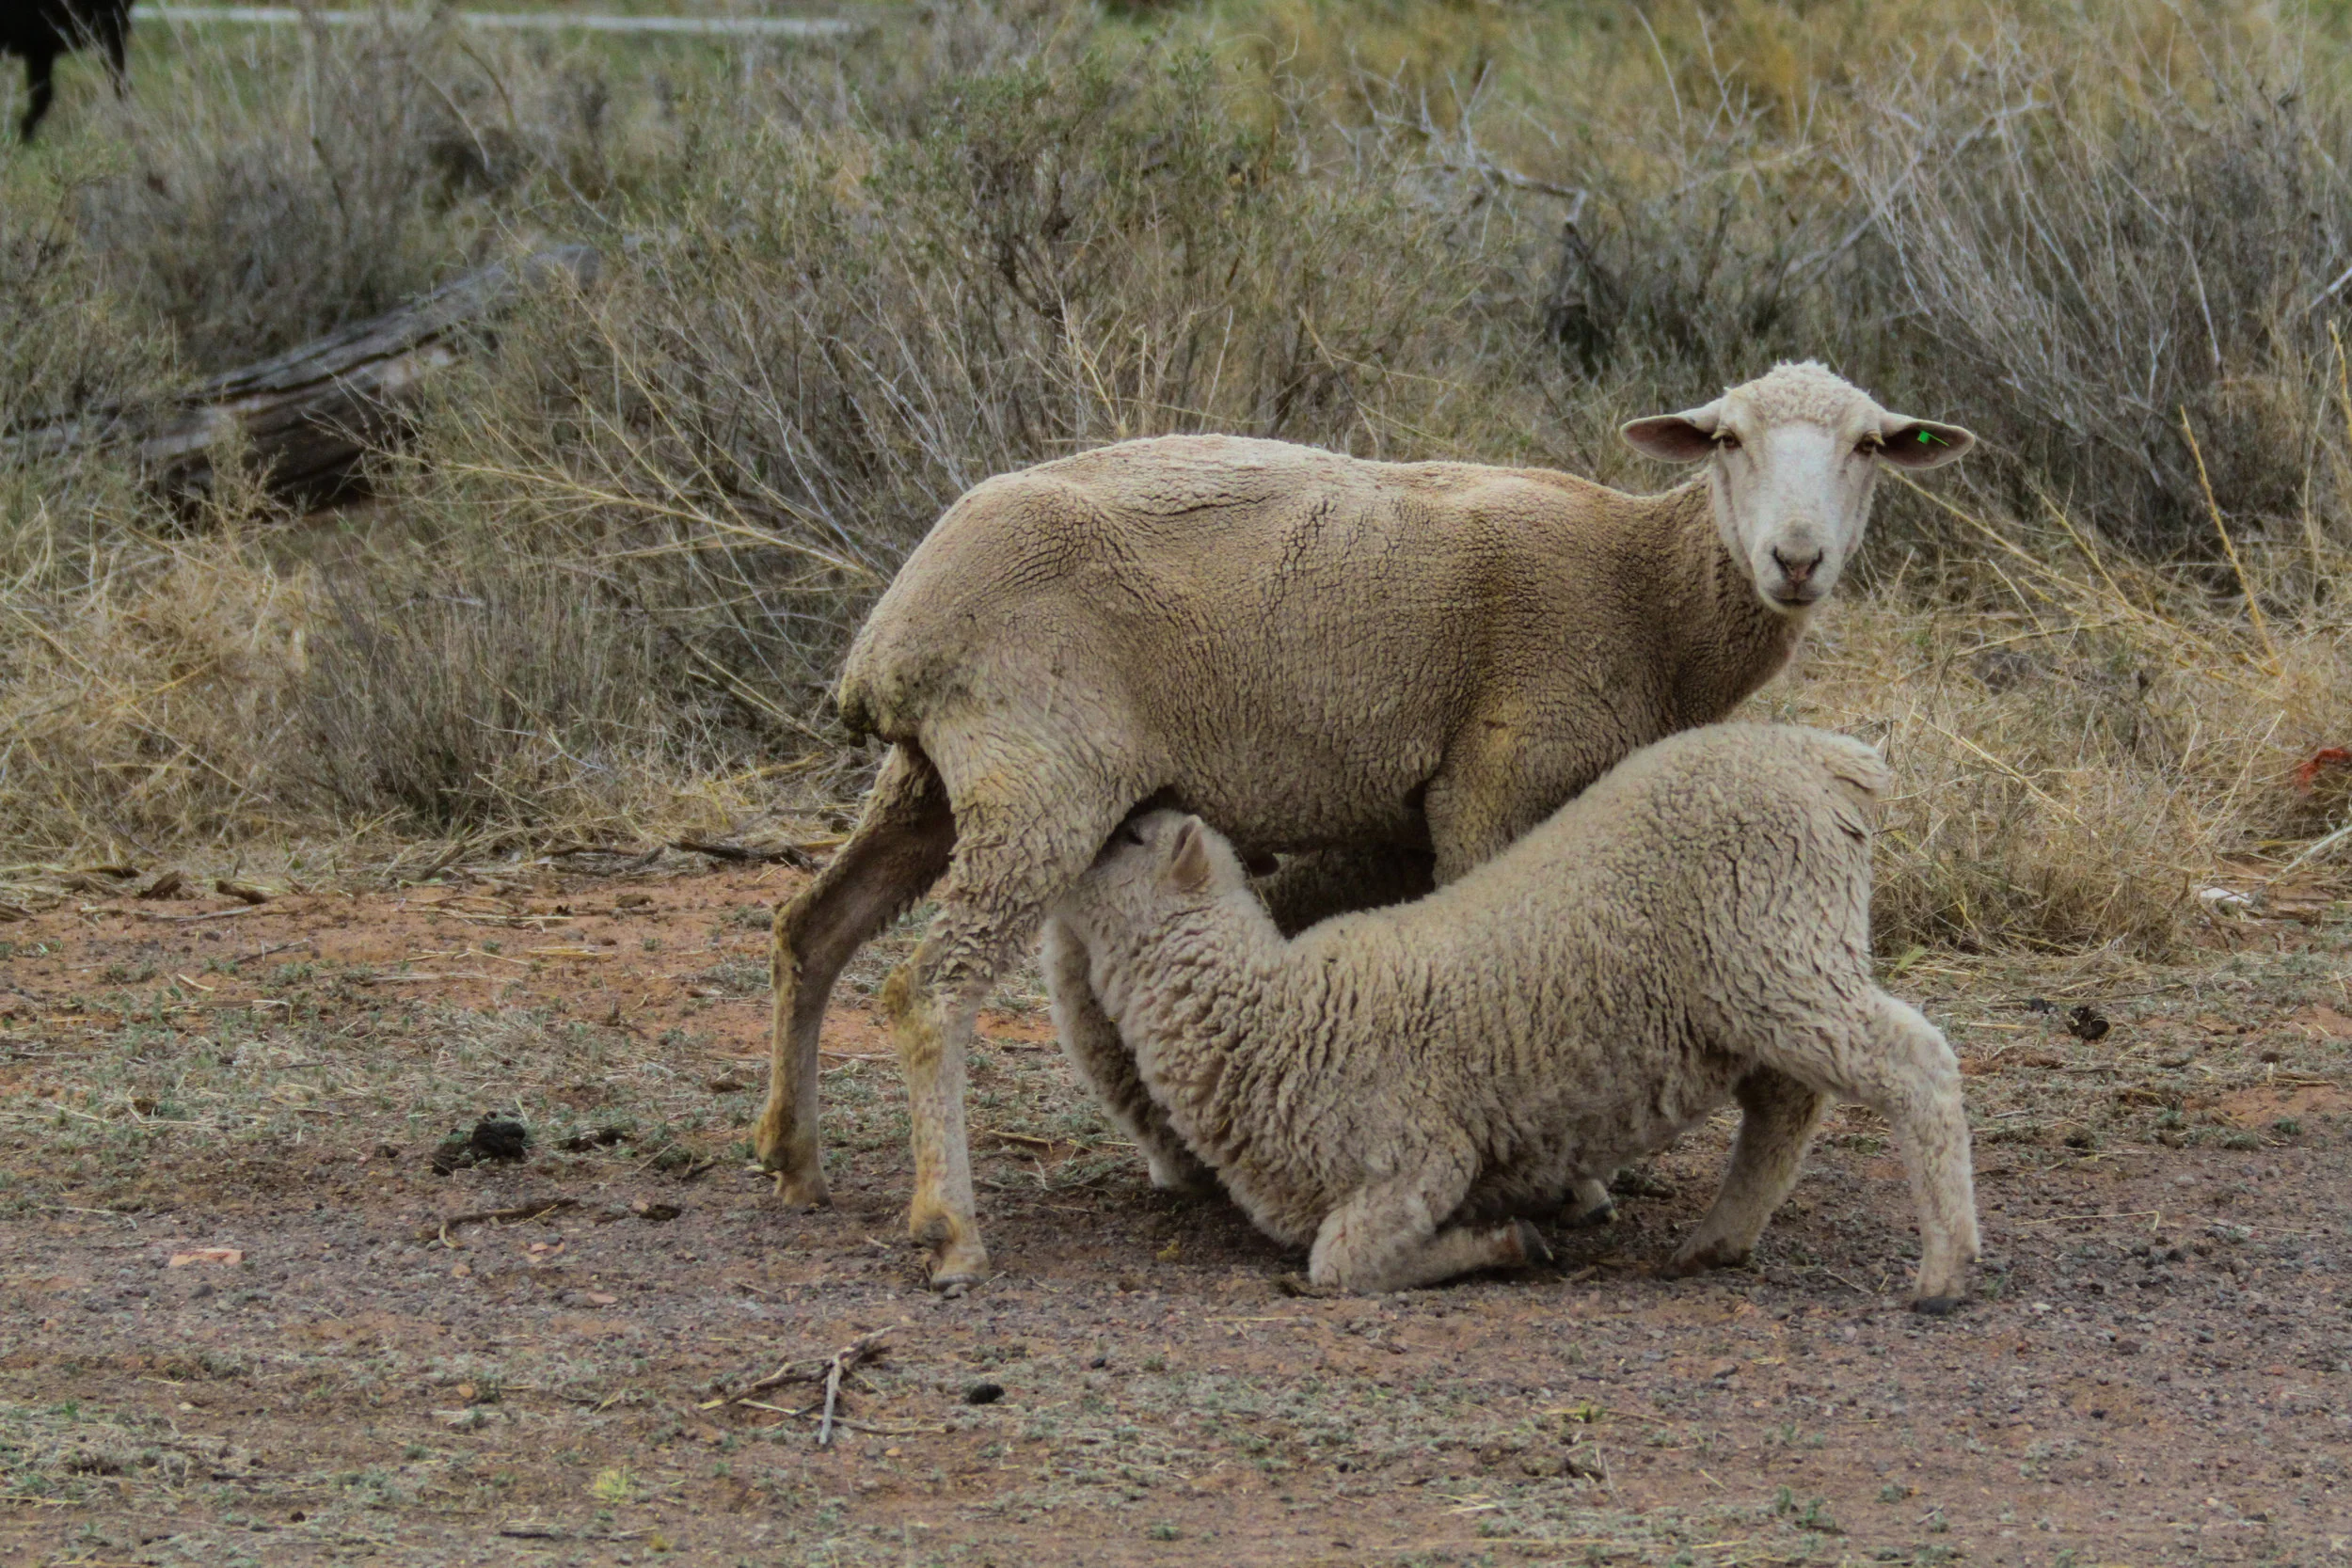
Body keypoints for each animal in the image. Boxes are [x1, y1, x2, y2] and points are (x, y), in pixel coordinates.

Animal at [1047, 723, 1981, 1307]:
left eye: (1131, 841)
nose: (1089, 833)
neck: (1273, 1011)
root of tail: (1828, 758)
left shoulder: (1420, 1148)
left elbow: (1339, 1259)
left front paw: (1498, 1246)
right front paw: (1507, 1240)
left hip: (1778, 948)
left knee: (1917, 1061)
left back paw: (1944, 1271)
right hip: (1763, 979)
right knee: (1788, 1104)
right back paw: (1715, 1242)